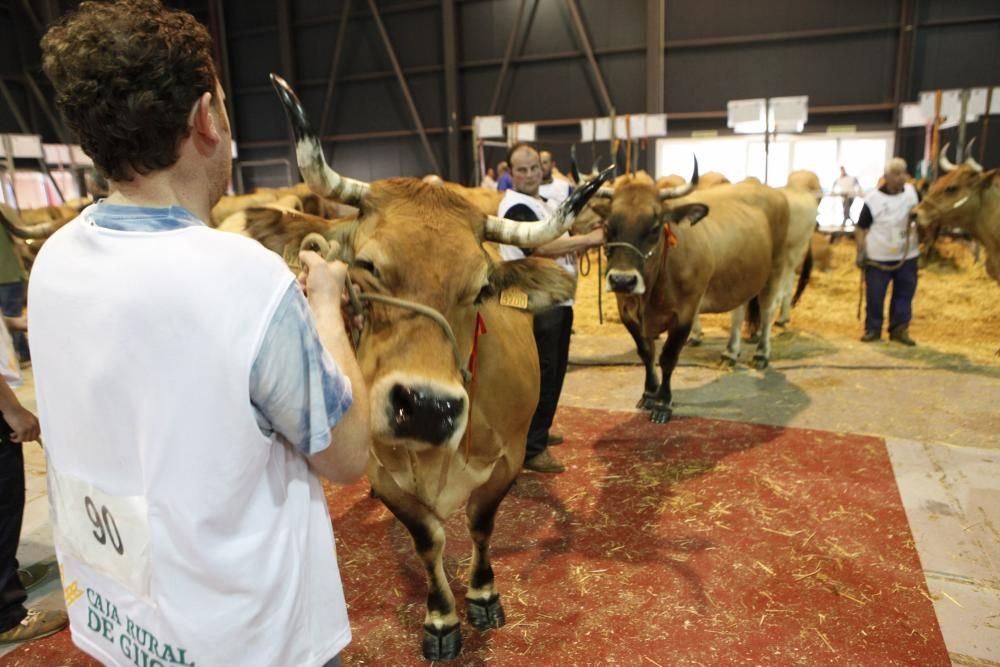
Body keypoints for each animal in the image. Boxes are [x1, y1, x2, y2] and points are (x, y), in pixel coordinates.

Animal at [268, 74, 608, 664]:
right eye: (367, 265)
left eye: (483, 287)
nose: (426, 406)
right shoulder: (383, 473)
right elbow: (428, 538)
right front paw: (442, 618)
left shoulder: (506, 460)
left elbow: (480, 524)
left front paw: (483, 594)